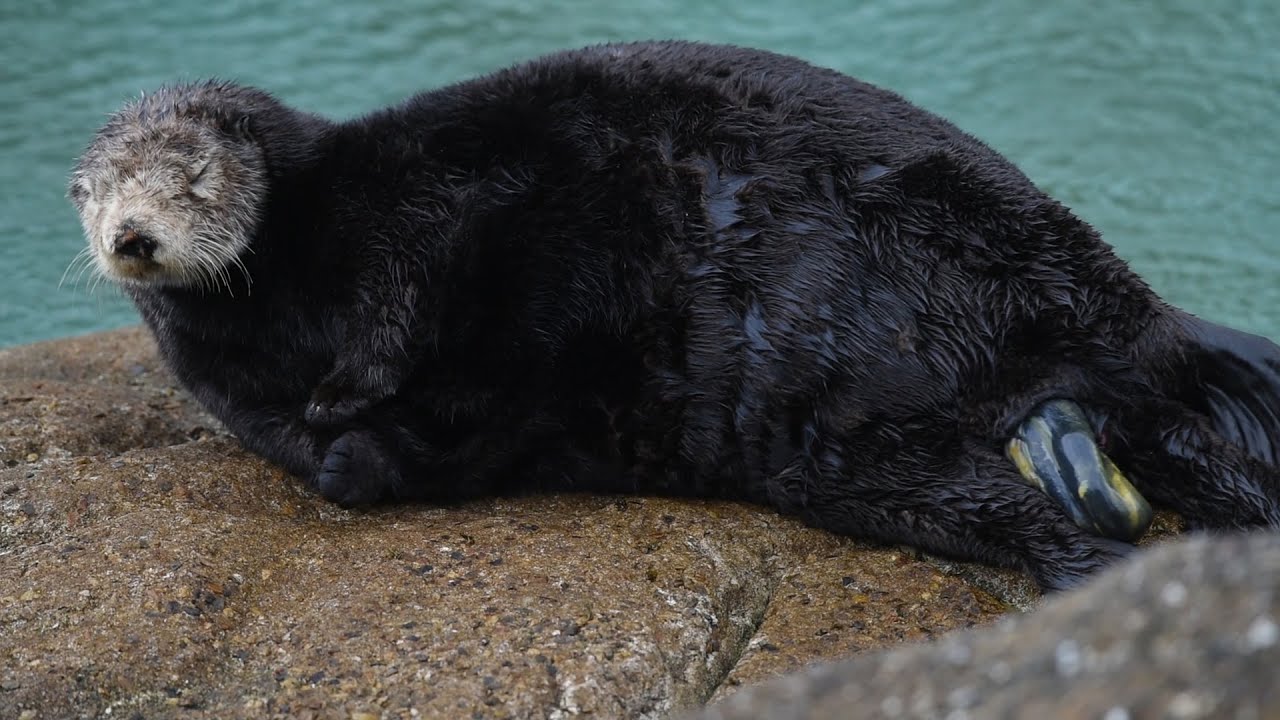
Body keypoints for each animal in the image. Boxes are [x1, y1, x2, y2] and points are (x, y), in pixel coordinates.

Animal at [69, 41, 1280, 591]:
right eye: (99, 191)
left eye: (186, 176)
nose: (131, 238)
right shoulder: (246, 396)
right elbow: (353, 458)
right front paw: (352, 434)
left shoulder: (418, 202)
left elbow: (418, 283)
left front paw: (356, 388)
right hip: (874, 452)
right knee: (1085, 465)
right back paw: (1100, 522)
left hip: (962, 283)